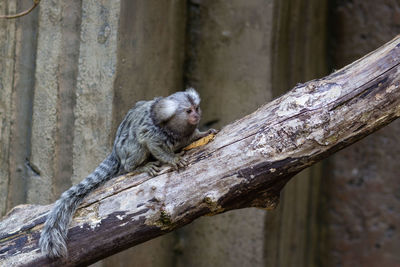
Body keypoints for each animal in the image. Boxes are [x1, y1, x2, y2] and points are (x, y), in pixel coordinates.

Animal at [39, 89, 217, 258]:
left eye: (196, 108)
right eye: (188, 111)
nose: (196, 115)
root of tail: (116, 152)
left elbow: (194, 135)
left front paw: (203, 133)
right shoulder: (153, 133)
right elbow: (153, 144)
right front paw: (173, 159)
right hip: (127, 151)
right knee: (136, 147)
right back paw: (139, 167)